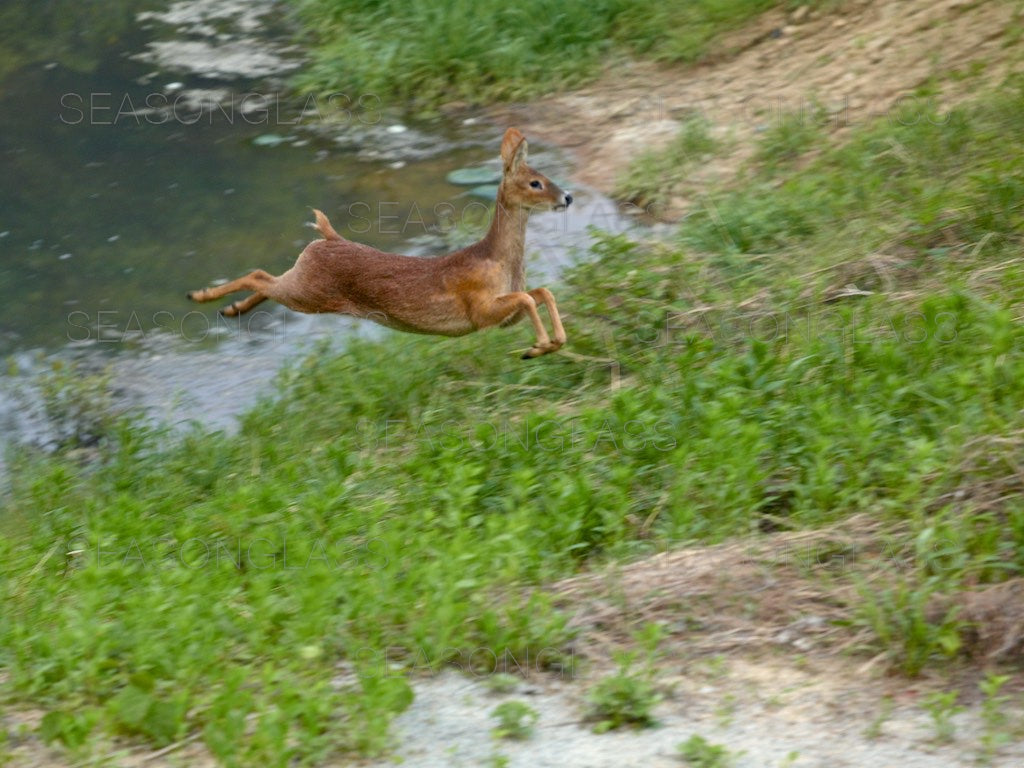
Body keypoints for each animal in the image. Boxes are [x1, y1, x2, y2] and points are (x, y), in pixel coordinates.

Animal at [188, 129, 573, 360]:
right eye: (536, 182)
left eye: (546, 176)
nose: (567, 197)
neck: (498, 260)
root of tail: (329, 237)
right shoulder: (478, 310)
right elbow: (529, 296)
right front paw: (539, 346)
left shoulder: (504, 317)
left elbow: (541, 292)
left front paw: (547, 345)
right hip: (309, 292)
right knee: (258, 275)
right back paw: (201, 295)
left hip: (304, 286)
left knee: (266, 280)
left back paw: (231, 309)